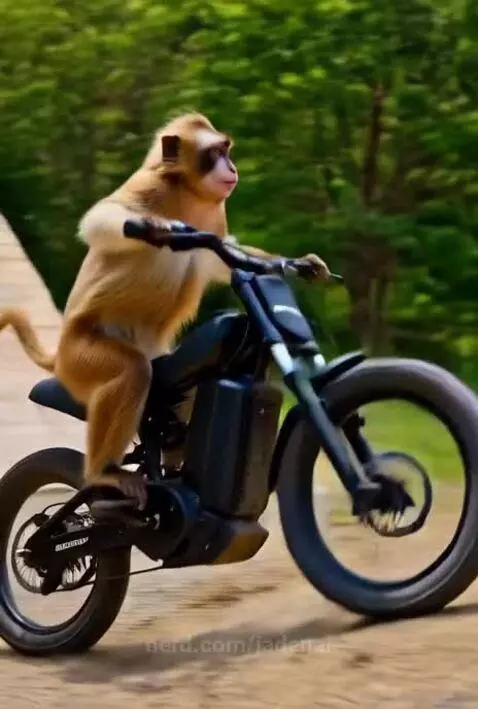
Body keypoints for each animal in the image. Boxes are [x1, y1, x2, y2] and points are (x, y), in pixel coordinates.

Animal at [0, 112, 330, 510]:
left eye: (226, 150)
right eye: (216, 153)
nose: (231, 167)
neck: (188, 192)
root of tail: (60, 355)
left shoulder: (214, 216)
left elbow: (226, 258)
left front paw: (296, 264)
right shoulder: (150, 186)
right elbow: (101, 218)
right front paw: (152, 228)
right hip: (80, 360)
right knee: (132, 373)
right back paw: (103, 473)